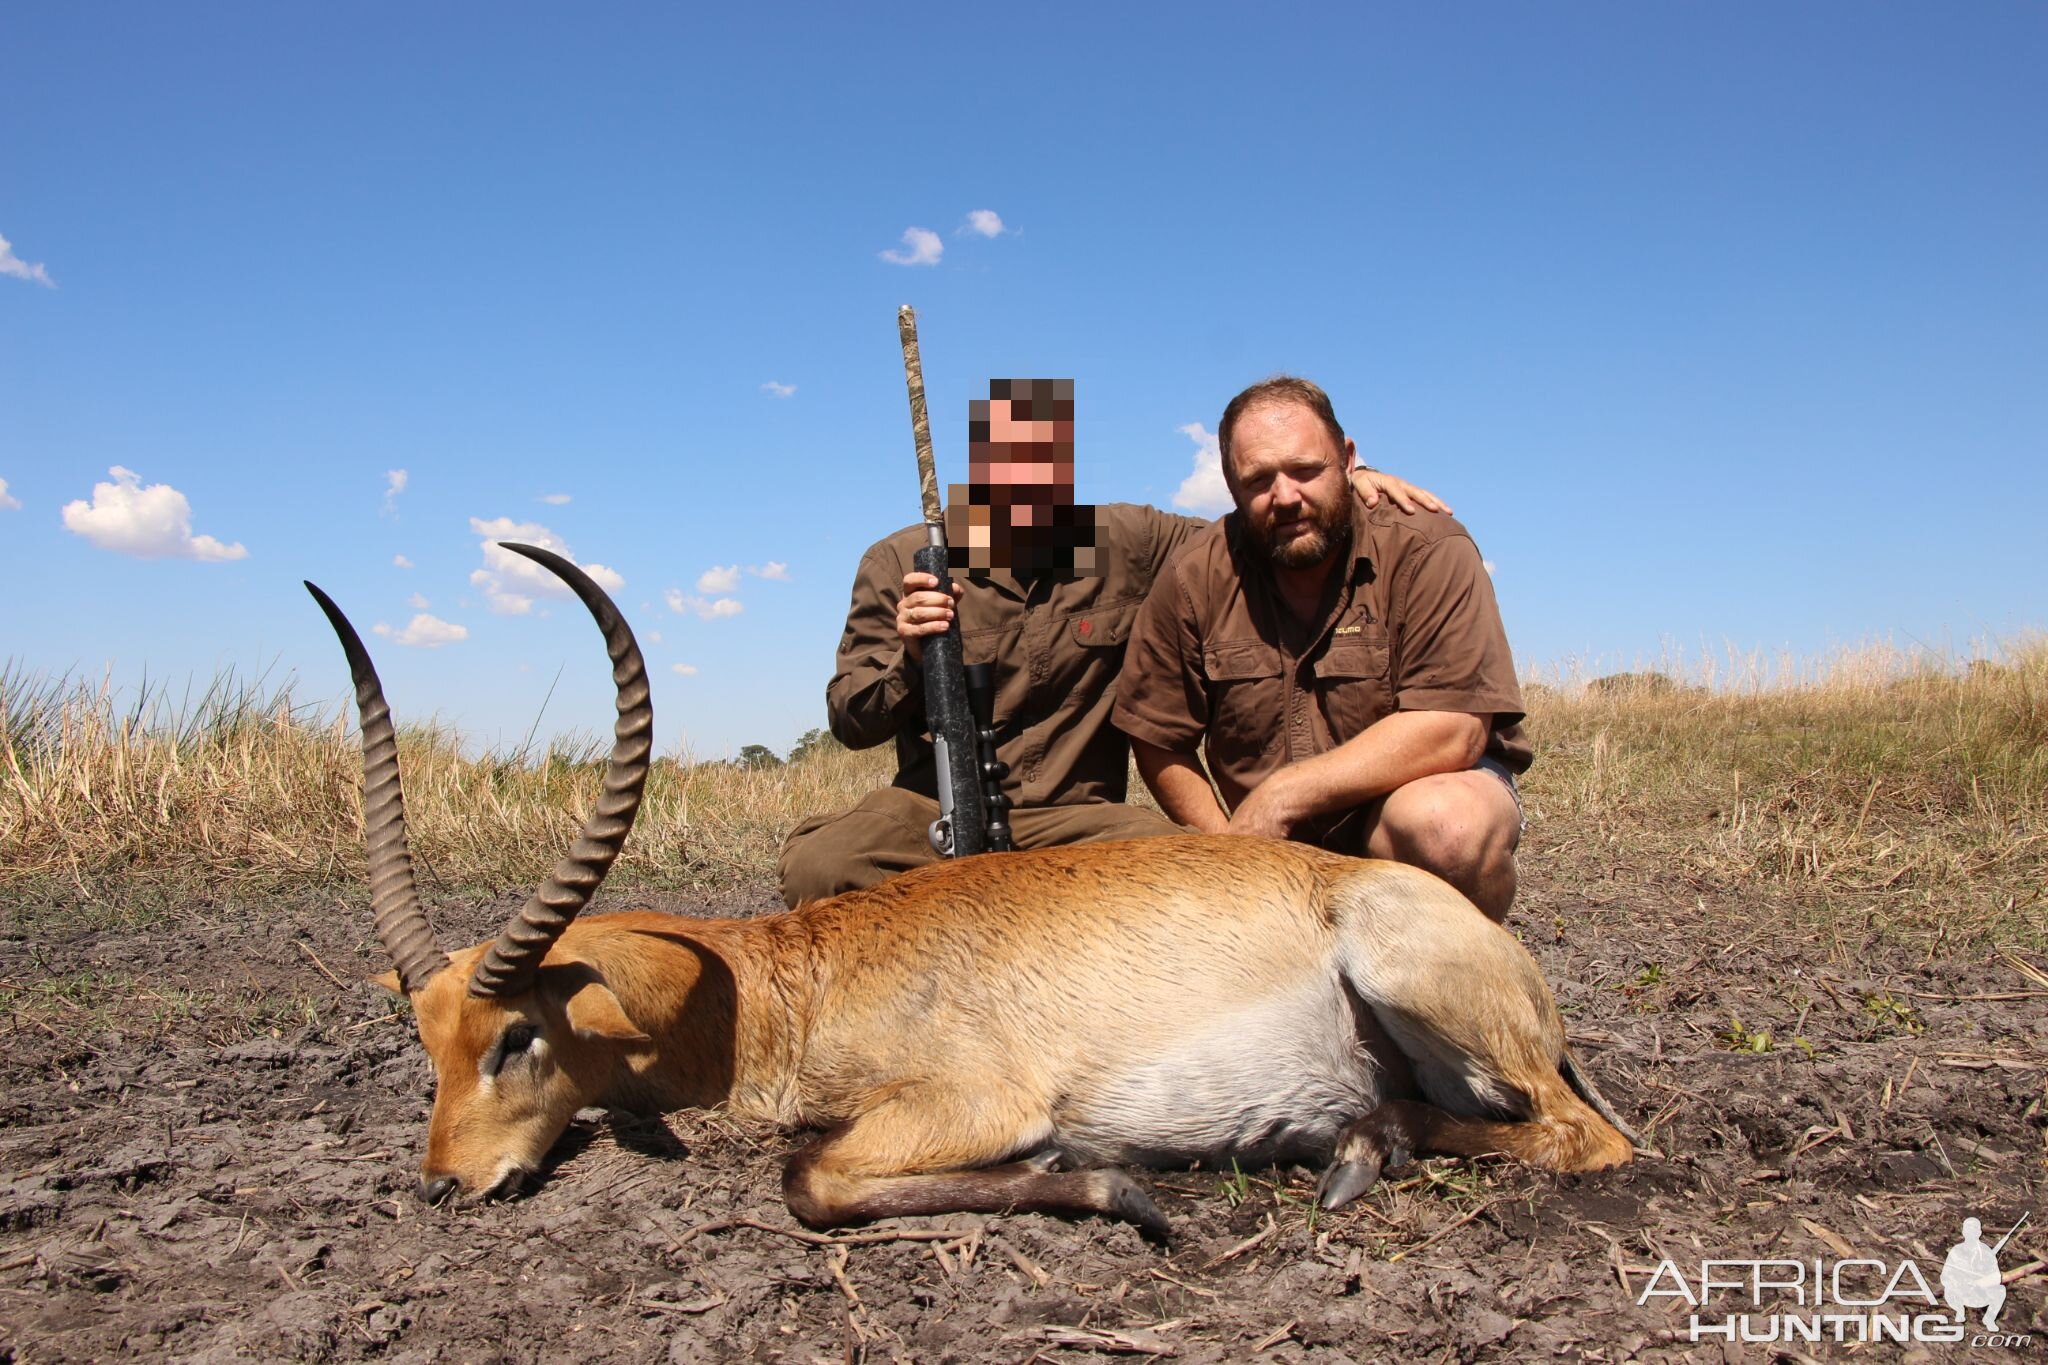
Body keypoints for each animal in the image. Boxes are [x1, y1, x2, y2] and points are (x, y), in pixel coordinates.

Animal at [307, 544, 1630, 1236]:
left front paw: (1115, 1184)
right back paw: (1347, 1142)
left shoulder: (971, 1100)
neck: (796, 983)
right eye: (429, 1044)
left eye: (515, 1035)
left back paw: (1349, 1153)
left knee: (1585, 1140)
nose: (443, 1183)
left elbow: (811, 1177)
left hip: (1416, 983)